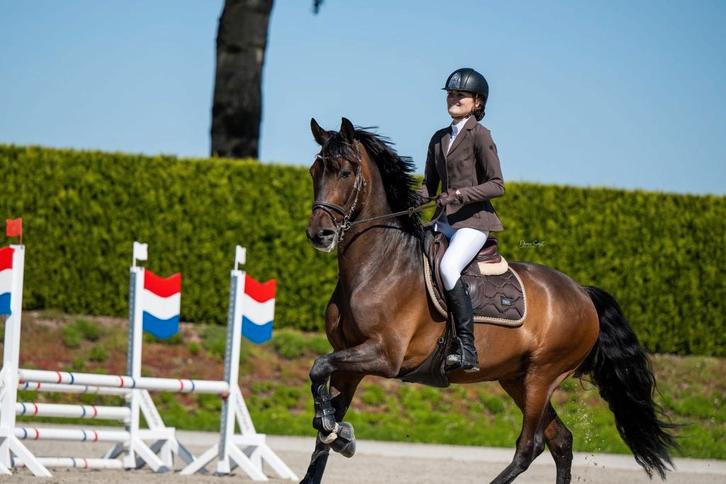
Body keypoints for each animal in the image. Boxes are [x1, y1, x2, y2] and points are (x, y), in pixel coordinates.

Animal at [301, 117, 676, 484]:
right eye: (314, 171)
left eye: (345, 172)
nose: (319, 234)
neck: (379, 264)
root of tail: (581, 292)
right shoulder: (348, 360)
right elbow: (322, 420)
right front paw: (336, 430)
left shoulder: (384, 354)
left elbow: (318, 367)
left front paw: (338, 431)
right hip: (516, 379)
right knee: (561, 441)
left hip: (543, 376)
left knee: (530, 445)